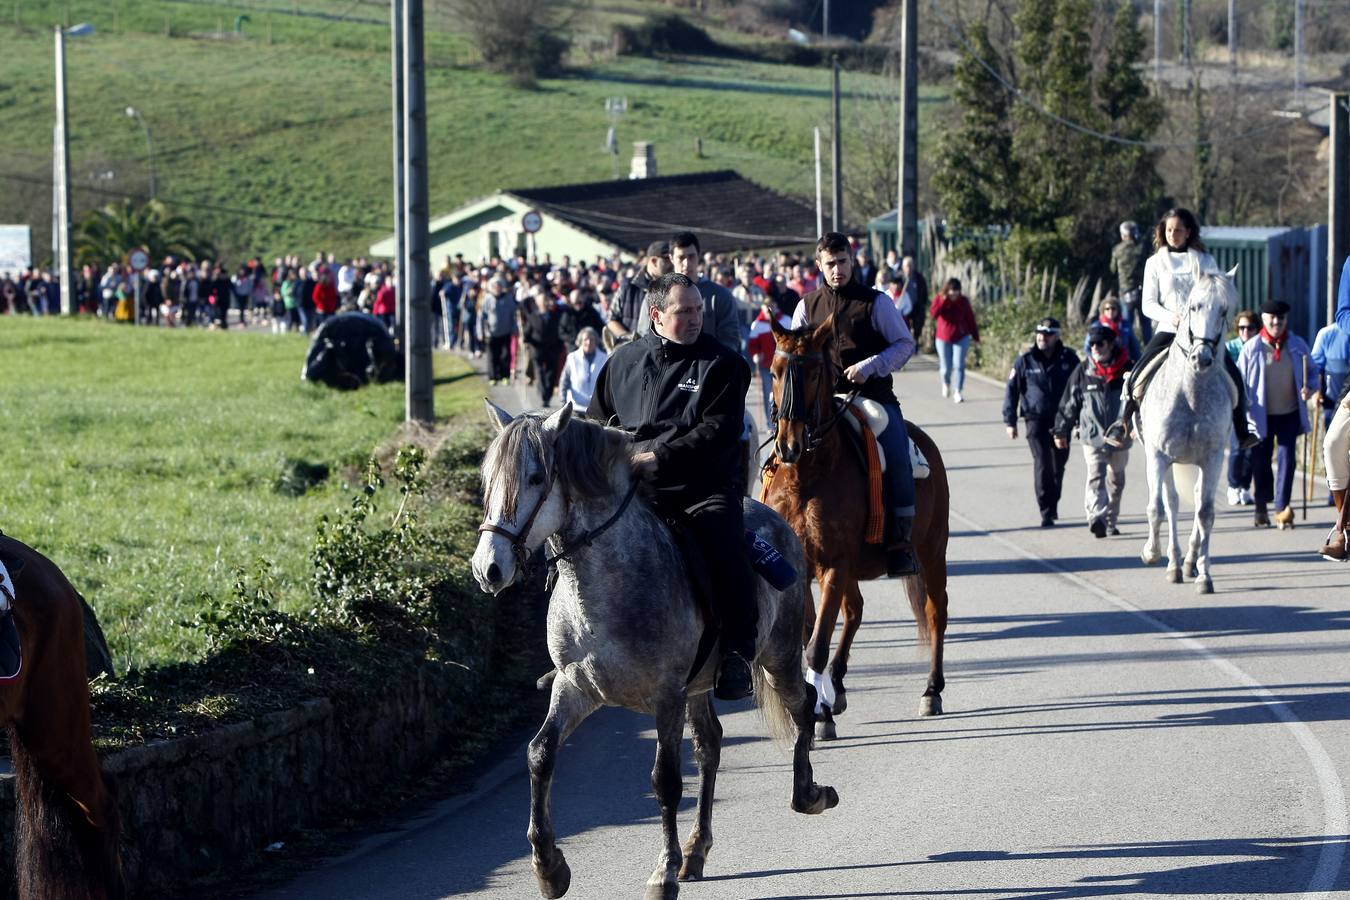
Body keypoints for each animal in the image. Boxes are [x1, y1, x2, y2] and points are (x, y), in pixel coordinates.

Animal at [472, 402, 831, 900]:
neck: (604, 589)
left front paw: (663, 871)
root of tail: (779, 524)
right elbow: (539, 753)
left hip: (777, 659)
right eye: (487, 479)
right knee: (710, 745)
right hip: (701, 686)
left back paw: (808, 793)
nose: (488, 568)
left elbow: (665, 782)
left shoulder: (666, 697)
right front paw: (549, 867)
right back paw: (697, 850)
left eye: (536, 478)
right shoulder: (575, 688)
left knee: (802, 708)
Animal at [761, 317, 950, 739]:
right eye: (775, 372)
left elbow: (816, 644)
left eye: (815, 373)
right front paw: (821, 707)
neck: (807, 476)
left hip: (932, 552)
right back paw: (839, 686)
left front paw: (820, 715)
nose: (789, 445)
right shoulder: (803, 568)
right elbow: (811, 635)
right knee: (856, 610)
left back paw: (932, 691)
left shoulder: (833, 564)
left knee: (936, 612)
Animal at [1134, 252, 1236, 599]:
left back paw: (1189, 563)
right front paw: (1154, 554)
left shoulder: (1213, 458)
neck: (1191, 394)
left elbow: (1205, 513)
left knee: (1194, 501)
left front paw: (1204, 575)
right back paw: (1174, 563)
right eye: (1194, 306)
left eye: (1224, 310)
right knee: (1170, 502)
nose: (1201, 359)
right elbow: (1158, 507)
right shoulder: (1158, 456)